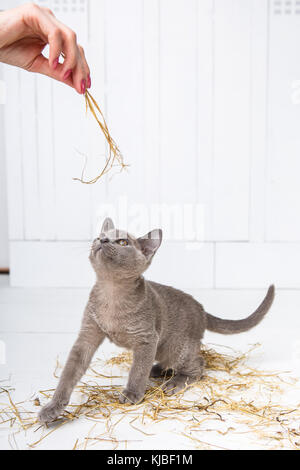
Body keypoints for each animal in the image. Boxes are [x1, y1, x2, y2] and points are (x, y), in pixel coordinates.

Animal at [38, 218, 276, 424]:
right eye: (100, 236)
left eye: (123, 242)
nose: (103, 241)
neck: (111, 293)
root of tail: (201, 308)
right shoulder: (87, 336)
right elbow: (68, 374)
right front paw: (53, 408)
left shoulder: (147, 338)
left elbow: (137, 371)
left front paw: (132, 394)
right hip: (163, 347)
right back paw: (158, 370)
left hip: (175, 346)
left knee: (198, 364)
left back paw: (174, 382)